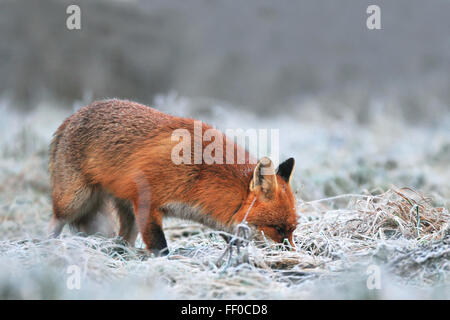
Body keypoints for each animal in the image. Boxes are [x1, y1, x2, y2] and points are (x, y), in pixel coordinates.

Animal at [48, 99, 298, 255]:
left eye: (293, 229)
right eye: (278, 229)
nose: (296, 257)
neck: (202, 175)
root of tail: (73, 115)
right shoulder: (146, 202)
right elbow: (160, 246)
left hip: (126, 213)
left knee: (123, 240)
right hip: (75, 201)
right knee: (56, 221)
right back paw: (46, 248)